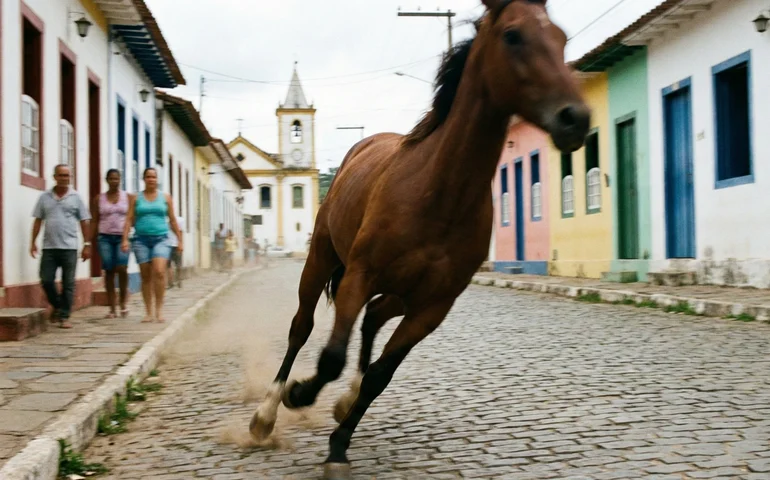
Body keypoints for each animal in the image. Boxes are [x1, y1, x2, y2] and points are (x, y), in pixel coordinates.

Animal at [249, 1, 590, 478]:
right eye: (513, 36)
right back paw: (267, 412)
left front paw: (339, 444)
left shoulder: (432, 306)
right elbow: (331, 356)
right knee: (303, 328)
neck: (440, 193)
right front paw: (300, 395)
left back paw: (345, 400)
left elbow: (380, 375)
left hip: (400, 294)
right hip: (321, 260)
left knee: (373, 319)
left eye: (561, 38)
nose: (575, 118)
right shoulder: (358, 275)